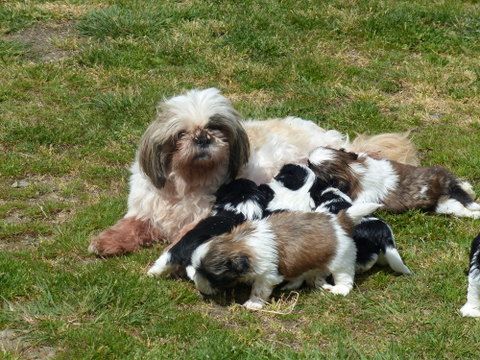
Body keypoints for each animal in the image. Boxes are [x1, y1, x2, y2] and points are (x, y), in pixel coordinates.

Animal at [88, 87, 418, 256]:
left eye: (216, 128)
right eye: (181, 134)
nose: (202, 138)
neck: (187, 180)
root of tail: (339, 141)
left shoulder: (207, 213)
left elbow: (188, 231)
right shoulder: (148, 209)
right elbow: (131, 225)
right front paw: (106, 241)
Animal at [186, 202, 380, 310]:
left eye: (212, 276)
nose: (200, 289)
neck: (240, 243)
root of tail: (339, 221)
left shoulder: (266, 275)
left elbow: (259, 289)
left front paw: (253, 304)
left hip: (341, 259)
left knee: (344, 276)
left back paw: (339, 289)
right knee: (313, 275)